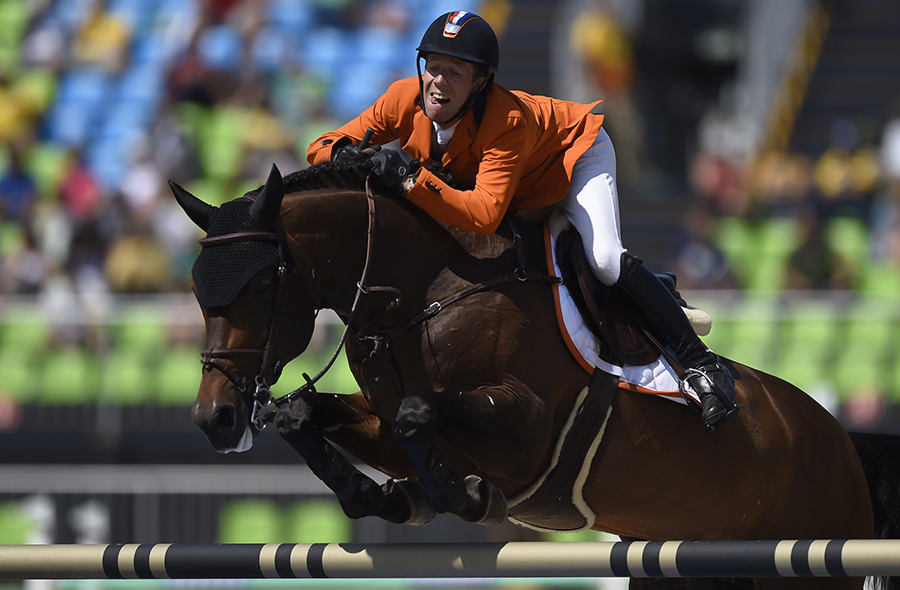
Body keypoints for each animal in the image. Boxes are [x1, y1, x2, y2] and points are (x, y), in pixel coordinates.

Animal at [169, 163, 900, 590]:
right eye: (198, 290)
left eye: (263, 285)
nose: (216, 418)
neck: (422, 293)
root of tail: (842, 441)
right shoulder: (385, 417)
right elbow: (311, 416)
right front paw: (385, 496)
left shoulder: (527, 430)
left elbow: (418, 414)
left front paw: (459, 495)